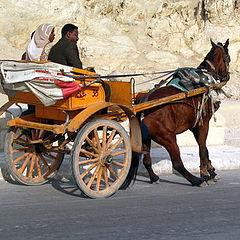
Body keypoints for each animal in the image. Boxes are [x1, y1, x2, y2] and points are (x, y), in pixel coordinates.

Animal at [124, 39, 231, 188]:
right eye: (228, 57)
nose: (227, 76)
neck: (203, 79)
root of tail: (143, 101)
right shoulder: (203, 124)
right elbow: (203, 150)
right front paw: (205, 174)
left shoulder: (194, 126)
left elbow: (205, 149)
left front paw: (211, 171)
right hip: (168, 138)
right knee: (177, 163)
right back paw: (196, 180)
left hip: (145, 138)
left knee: (147, 160)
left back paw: (154, 177)